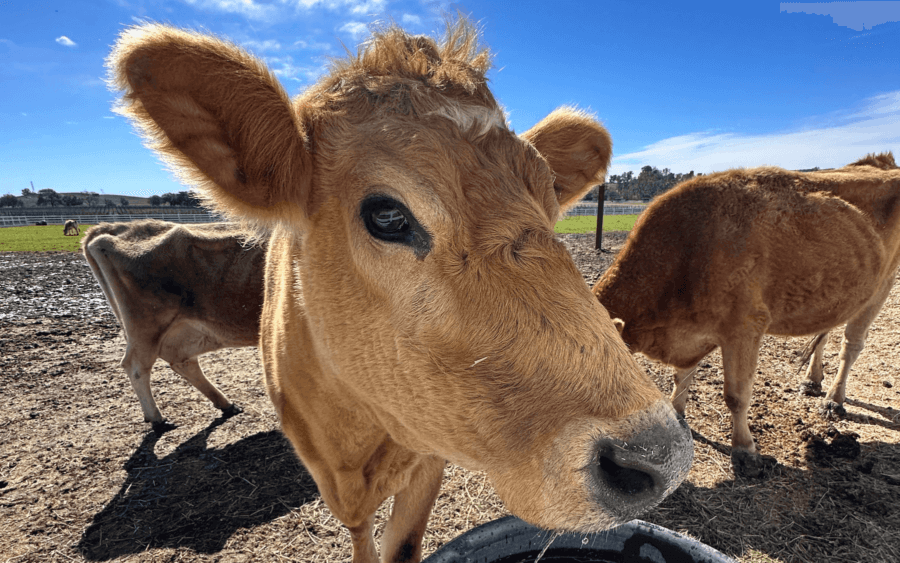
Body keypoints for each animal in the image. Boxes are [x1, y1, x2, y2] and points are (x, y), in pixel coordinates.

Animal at [81, 220, 266, 432]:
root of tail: (114, 228)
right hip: (146, 328)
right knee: (136, 367)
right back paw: (157, 420)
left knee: (183, 362)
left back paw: (226, 404)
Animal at [592, 152, 900, 478]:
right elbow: (682, 377)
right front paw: (677, 415)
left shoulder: (744, 327)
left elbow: (736, 396)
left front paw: (745, 451)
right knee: (826, 330)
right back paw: (812, 380)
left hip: (882, 284)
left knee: (852, 344)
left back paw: (833, 400)